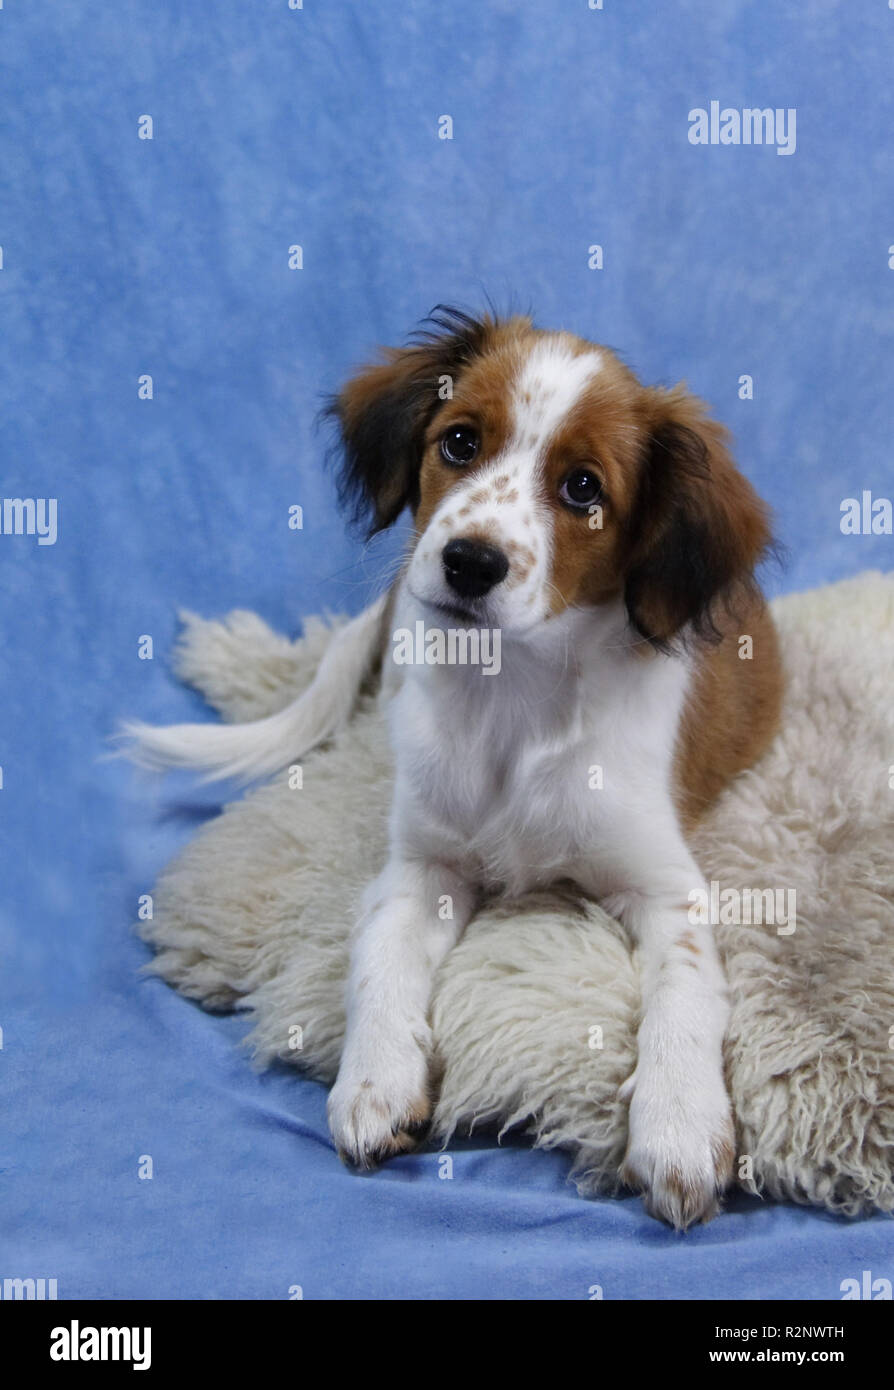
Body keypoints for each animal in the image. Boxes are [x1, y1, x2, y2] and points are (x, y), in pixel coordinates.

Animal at [127, 307, 784, 1228]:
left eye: (585, 489)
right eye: (461, 441)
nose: (469, 561)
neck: (513, 698)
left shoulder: (667, 887)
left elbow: (684, 995)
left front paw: (681, 1126)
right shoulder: (421, 865)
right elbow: (379, 958)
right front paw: (373, 1082)